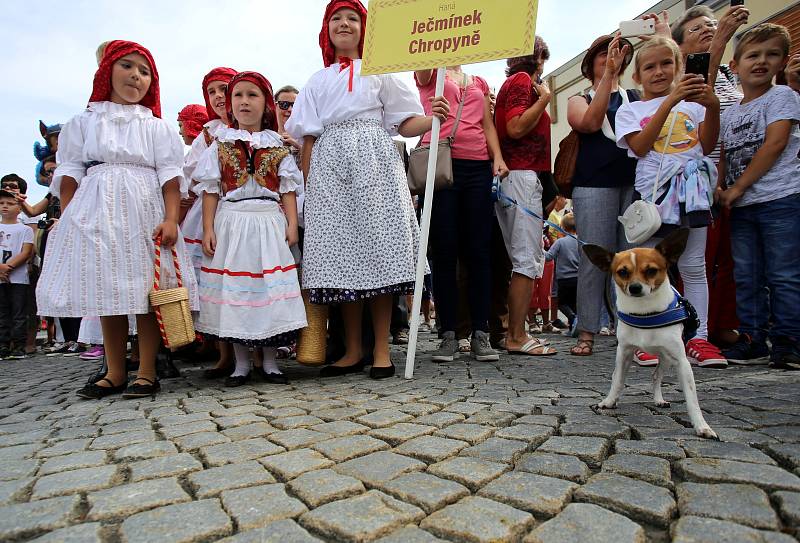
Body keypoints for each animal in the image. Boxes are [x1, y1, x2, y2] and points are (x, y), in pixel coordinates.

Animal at [580, 227, 720, 440]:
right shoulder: (624, 353)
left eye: (651, 270)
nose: (635, 287)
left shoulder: (682, 362)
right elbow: (617, 379)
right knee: (653, 375)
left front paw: (702, 426)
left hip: (667, 358)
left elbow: (692, 398)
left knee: (656, 376)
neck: (645, 314)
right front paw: (610, 401)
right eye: (622, 272)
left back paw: (659, 400)